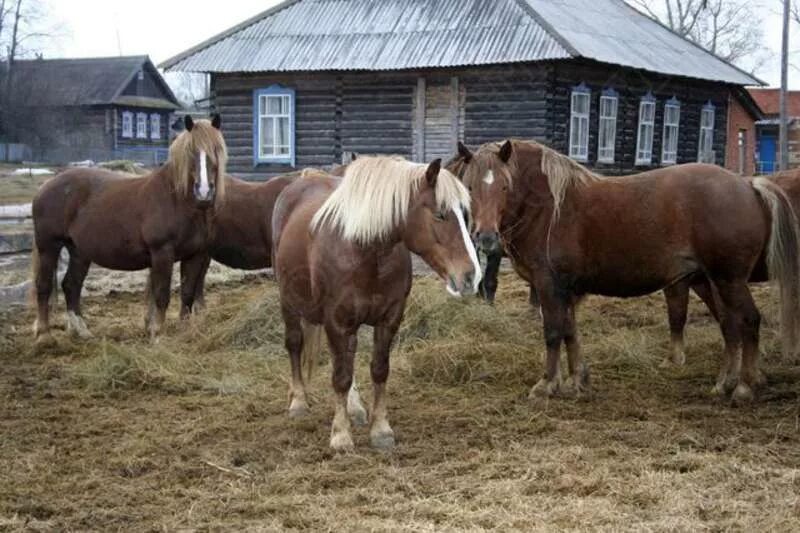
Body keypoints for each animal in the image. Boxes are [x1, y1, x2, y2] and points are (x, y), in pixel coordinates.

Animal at [31, 116, 225, 340]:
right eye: (191, 151)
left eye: (216, 149)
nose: (204, 193)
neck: (176, 199)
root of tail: (45, 186)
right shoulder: (162, 253)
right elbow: (161, 295)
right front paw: (157, 333)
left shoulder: (194, 255)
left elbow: (187, 294)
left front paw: (184, 330)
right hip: (49, 247)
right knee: (44, 286)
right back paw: (44, 335)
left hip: (79, 251)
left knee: (71, 286)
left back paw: (82, 331)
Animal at [272, 156, 478, 450]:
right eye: (440, 214)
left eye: (465, 214)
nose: (471, 276)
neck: (365, 252)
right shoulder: (337, 320)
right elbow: (340, 376)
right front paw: (340, 435)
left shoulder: (388, 319)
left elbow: (378, 370)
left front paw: (380, 430)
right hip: (288, 300)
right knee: (295, 344)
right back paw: (298, 401)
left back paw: (355, 407)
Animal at [454, 139, 800, 402]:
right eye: (468, 186)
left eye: (504, 186)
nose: (485, 237)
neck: (549, 207)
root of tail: (748, 185)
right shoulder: (567, 289)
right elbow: (570, 332)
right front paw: (578, 380)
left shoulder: (549, 286)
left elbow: (553, 333)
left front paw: (547, 384)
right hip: (713, 281)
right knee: (730, 326)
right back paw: (724, 383)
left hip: (729, 280)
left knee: (749, 321)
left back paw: (744, 387)